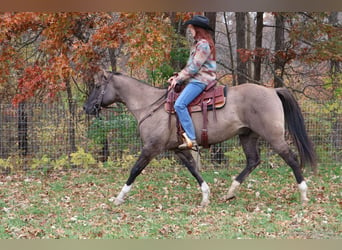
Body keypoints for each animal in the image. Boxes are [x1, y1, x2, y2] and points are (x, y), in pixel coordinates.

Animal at [83, 70, 318, 207]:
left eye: (97, 86)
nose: (86, 108)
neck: (150, 106)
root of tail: (272, 91)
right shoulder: (179, 149)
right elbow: (193, 170)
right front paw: (205, 196)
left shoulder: (151, 148)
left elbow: (135, 170)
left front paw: (119, 198)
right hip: (247, 136)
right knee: (253, 161)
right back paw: (230, 192)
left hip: (273, 136)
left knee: (291, 159)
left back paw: (304, 195)